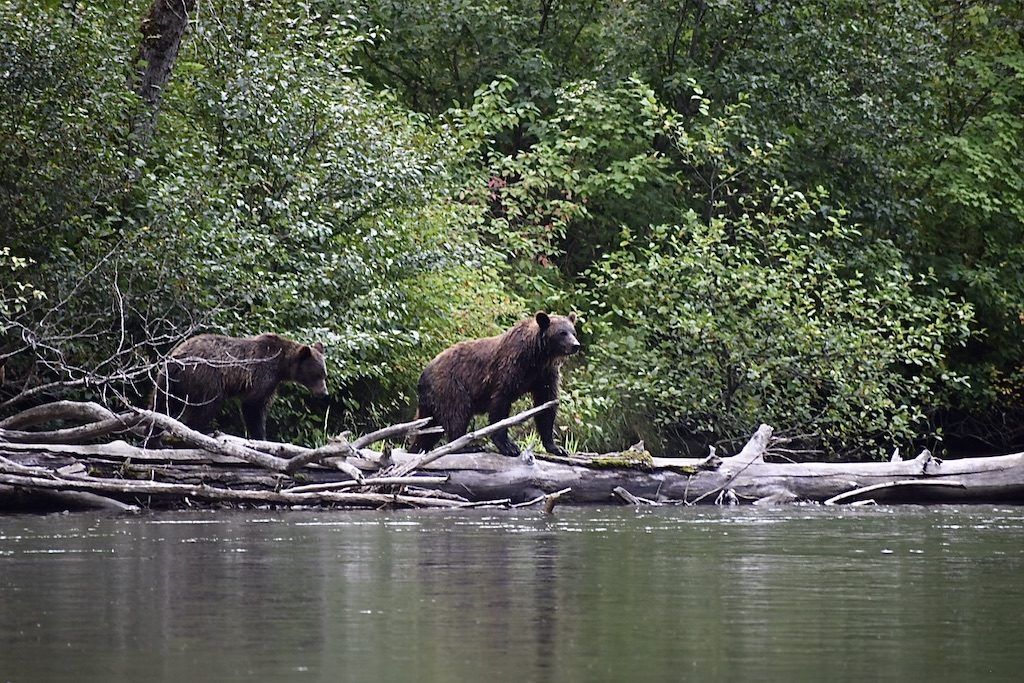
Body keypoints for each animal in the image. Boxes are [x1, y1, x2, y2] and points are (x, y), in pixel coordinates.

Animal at [144, 333, 325, 446]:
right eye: (316, 375)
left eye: (325, 375)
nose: (324, 393)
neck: (282, 366)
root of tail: (177, 358)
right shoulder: (263, 373)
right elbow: (254, 405)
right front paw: (260, 436)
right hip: (205, 378)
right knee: (207, 406)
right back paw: (200, 433)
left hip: (170, 381)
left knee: (160, 405)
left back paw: (155, 441)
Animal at [409, 313, 585, 456]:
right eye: (562, 333)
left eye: (573, 332)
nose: (575, 345)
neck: (537, 357)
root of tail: (422, 376)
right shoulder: (509, 368)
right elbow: (500, 403)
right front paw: (509, 446)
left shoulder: (545, 375)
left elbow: (546, 405)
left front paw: (556, 447)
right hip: (450, 386)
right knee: (457, 413)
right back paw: (468, 446)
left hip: (431, 404)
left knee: (428, 431)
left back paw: (417, 449)